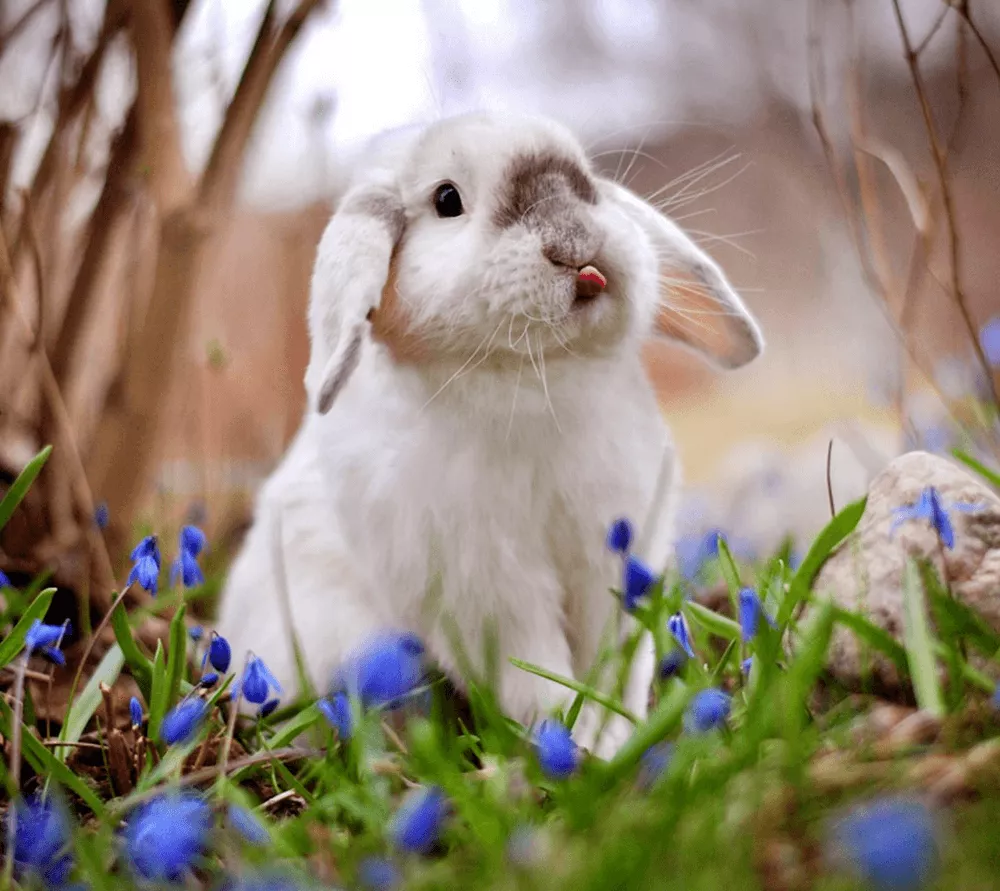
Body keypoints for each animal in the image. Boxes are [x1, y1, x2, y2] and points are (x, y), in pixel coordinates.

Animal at [216, 111, 763, 758]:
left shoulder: (615, 559)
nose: (573, 240)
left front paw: (612, 738)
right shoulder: (486, 590)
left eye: (589, 184)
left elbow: (614, 664)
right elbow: (537, 673)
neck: (530, 377)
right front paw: (573, 745)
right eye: (446, 200)